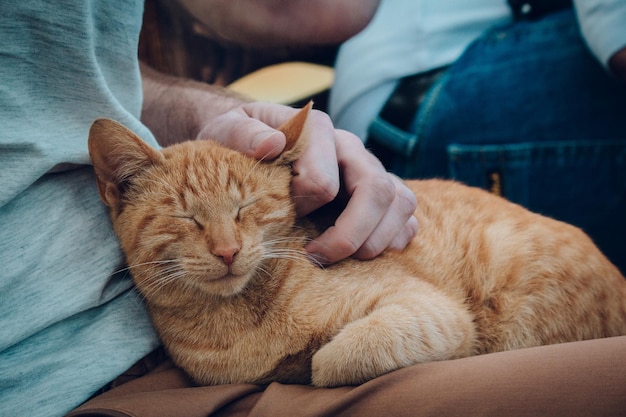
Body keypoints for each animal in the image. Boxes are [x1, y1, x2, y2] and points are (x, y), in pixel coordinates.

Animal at [89, 102, 624, 386]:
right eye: (187, 216)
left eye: (247, 207)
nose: (227, 251)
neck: (238, 324)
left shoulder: (431, 311)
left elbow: (334, 358)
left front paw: (314, 361)